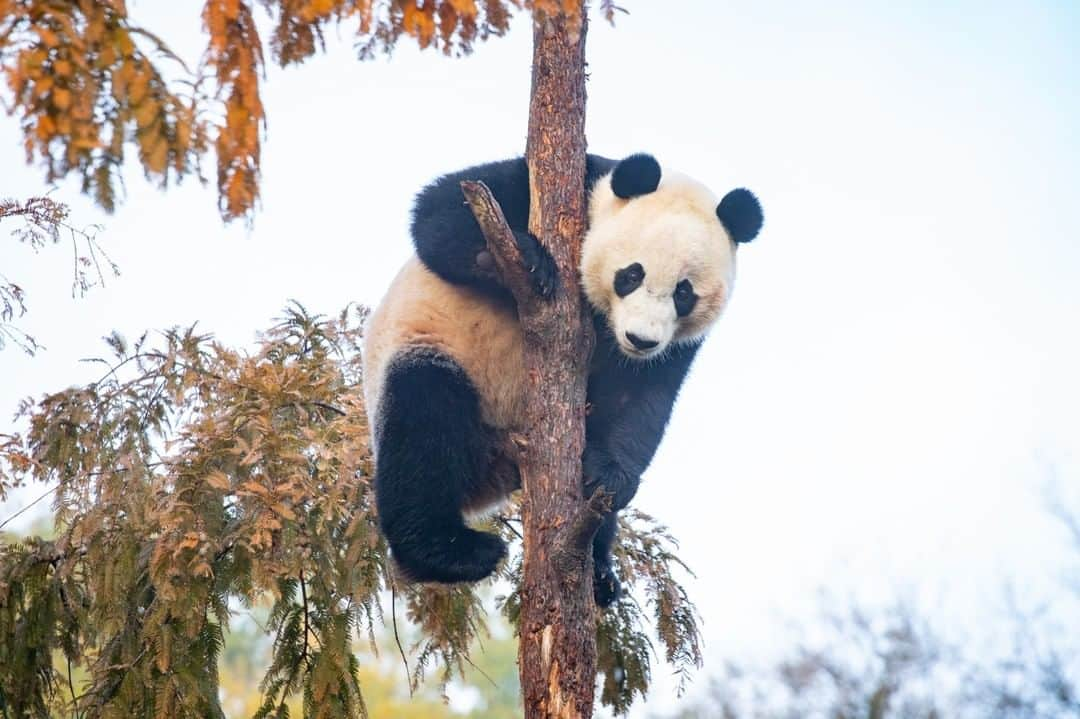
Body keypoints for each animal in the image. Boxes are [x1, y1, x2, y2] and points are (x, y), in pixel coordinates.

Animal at [362, 152, 760, 604]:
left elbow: (639, 401)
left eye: (683, 293)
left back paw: (600, 574)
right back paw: (451, 552)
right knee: (424, 424)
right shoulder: (549, 185)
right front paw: (525, 259)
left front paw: (609, 475)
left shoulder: (673, 347)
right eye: (632, 275)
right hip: (433, 351)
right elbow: (438, 212)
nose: (640, 339)